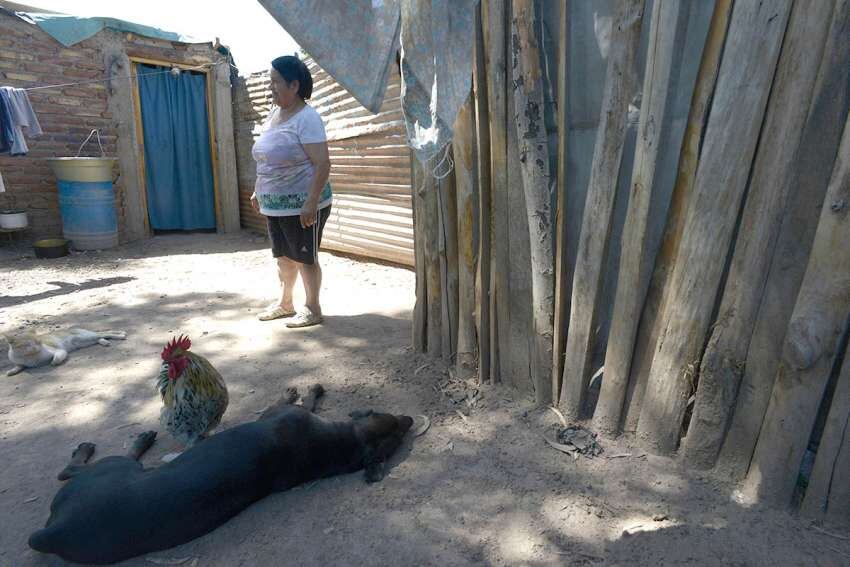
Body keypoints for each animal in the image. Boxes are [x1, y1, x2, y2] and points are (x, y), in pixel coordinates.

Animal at [27, 384, 410, 564]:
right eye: (395, 426)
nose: (409, 419)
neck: (343, 444)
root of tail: (54, 532)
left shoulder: (278, 414)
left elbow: (303, 401)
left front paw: (306, 390)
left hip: (113, 470)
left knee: (72, 469)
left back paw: (132, 441)